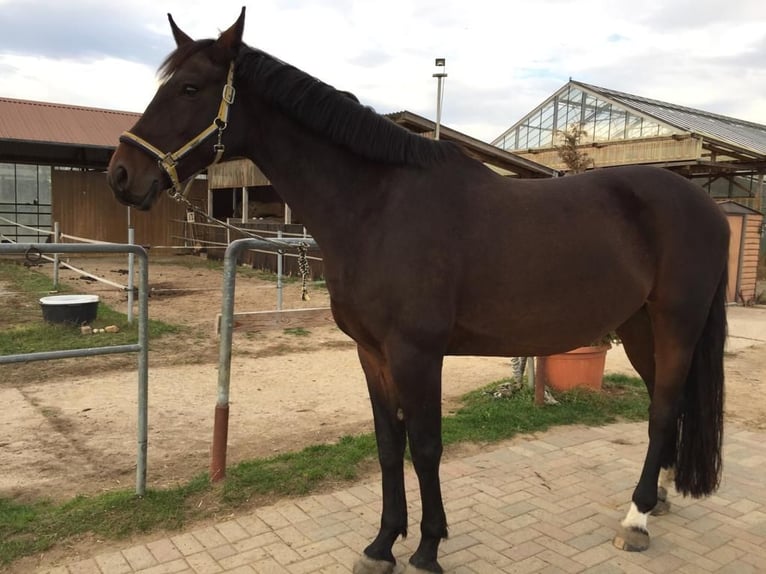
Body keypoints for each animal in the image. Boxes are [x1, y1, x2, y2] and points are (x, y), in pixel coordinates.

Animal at [106, 10, 732, 574]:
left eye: (189, 87)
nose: (121, 174)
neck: (378, 207)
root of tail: (708, 205)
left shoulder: (417, 352)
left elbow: (426, 446)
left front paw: (428, 549)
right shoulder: (372, 353)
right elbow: (389, 444)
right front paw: (383, 545)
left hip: (675, 322)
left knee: (663, 409)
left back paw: (636, 520)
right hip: (638, 325)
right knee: (663, 405)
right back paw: (659, 497)